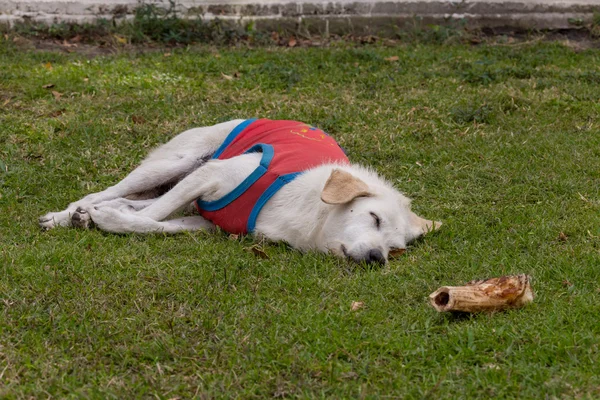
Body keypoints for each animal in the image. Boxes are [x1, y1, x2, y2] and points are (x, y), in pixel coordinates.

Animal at [38, 118, 440, 262]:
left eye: (395, 249)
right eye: (373, 218)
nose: (376, 258)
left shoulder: (207, 224)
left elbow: (154, 224)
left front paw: (110, 220)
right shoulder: (210, 176)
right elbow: (151, 215)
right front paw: (104, 219)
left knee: (135, 201)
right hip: (174, 164)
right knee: (100, 193)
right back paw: (67, 215)